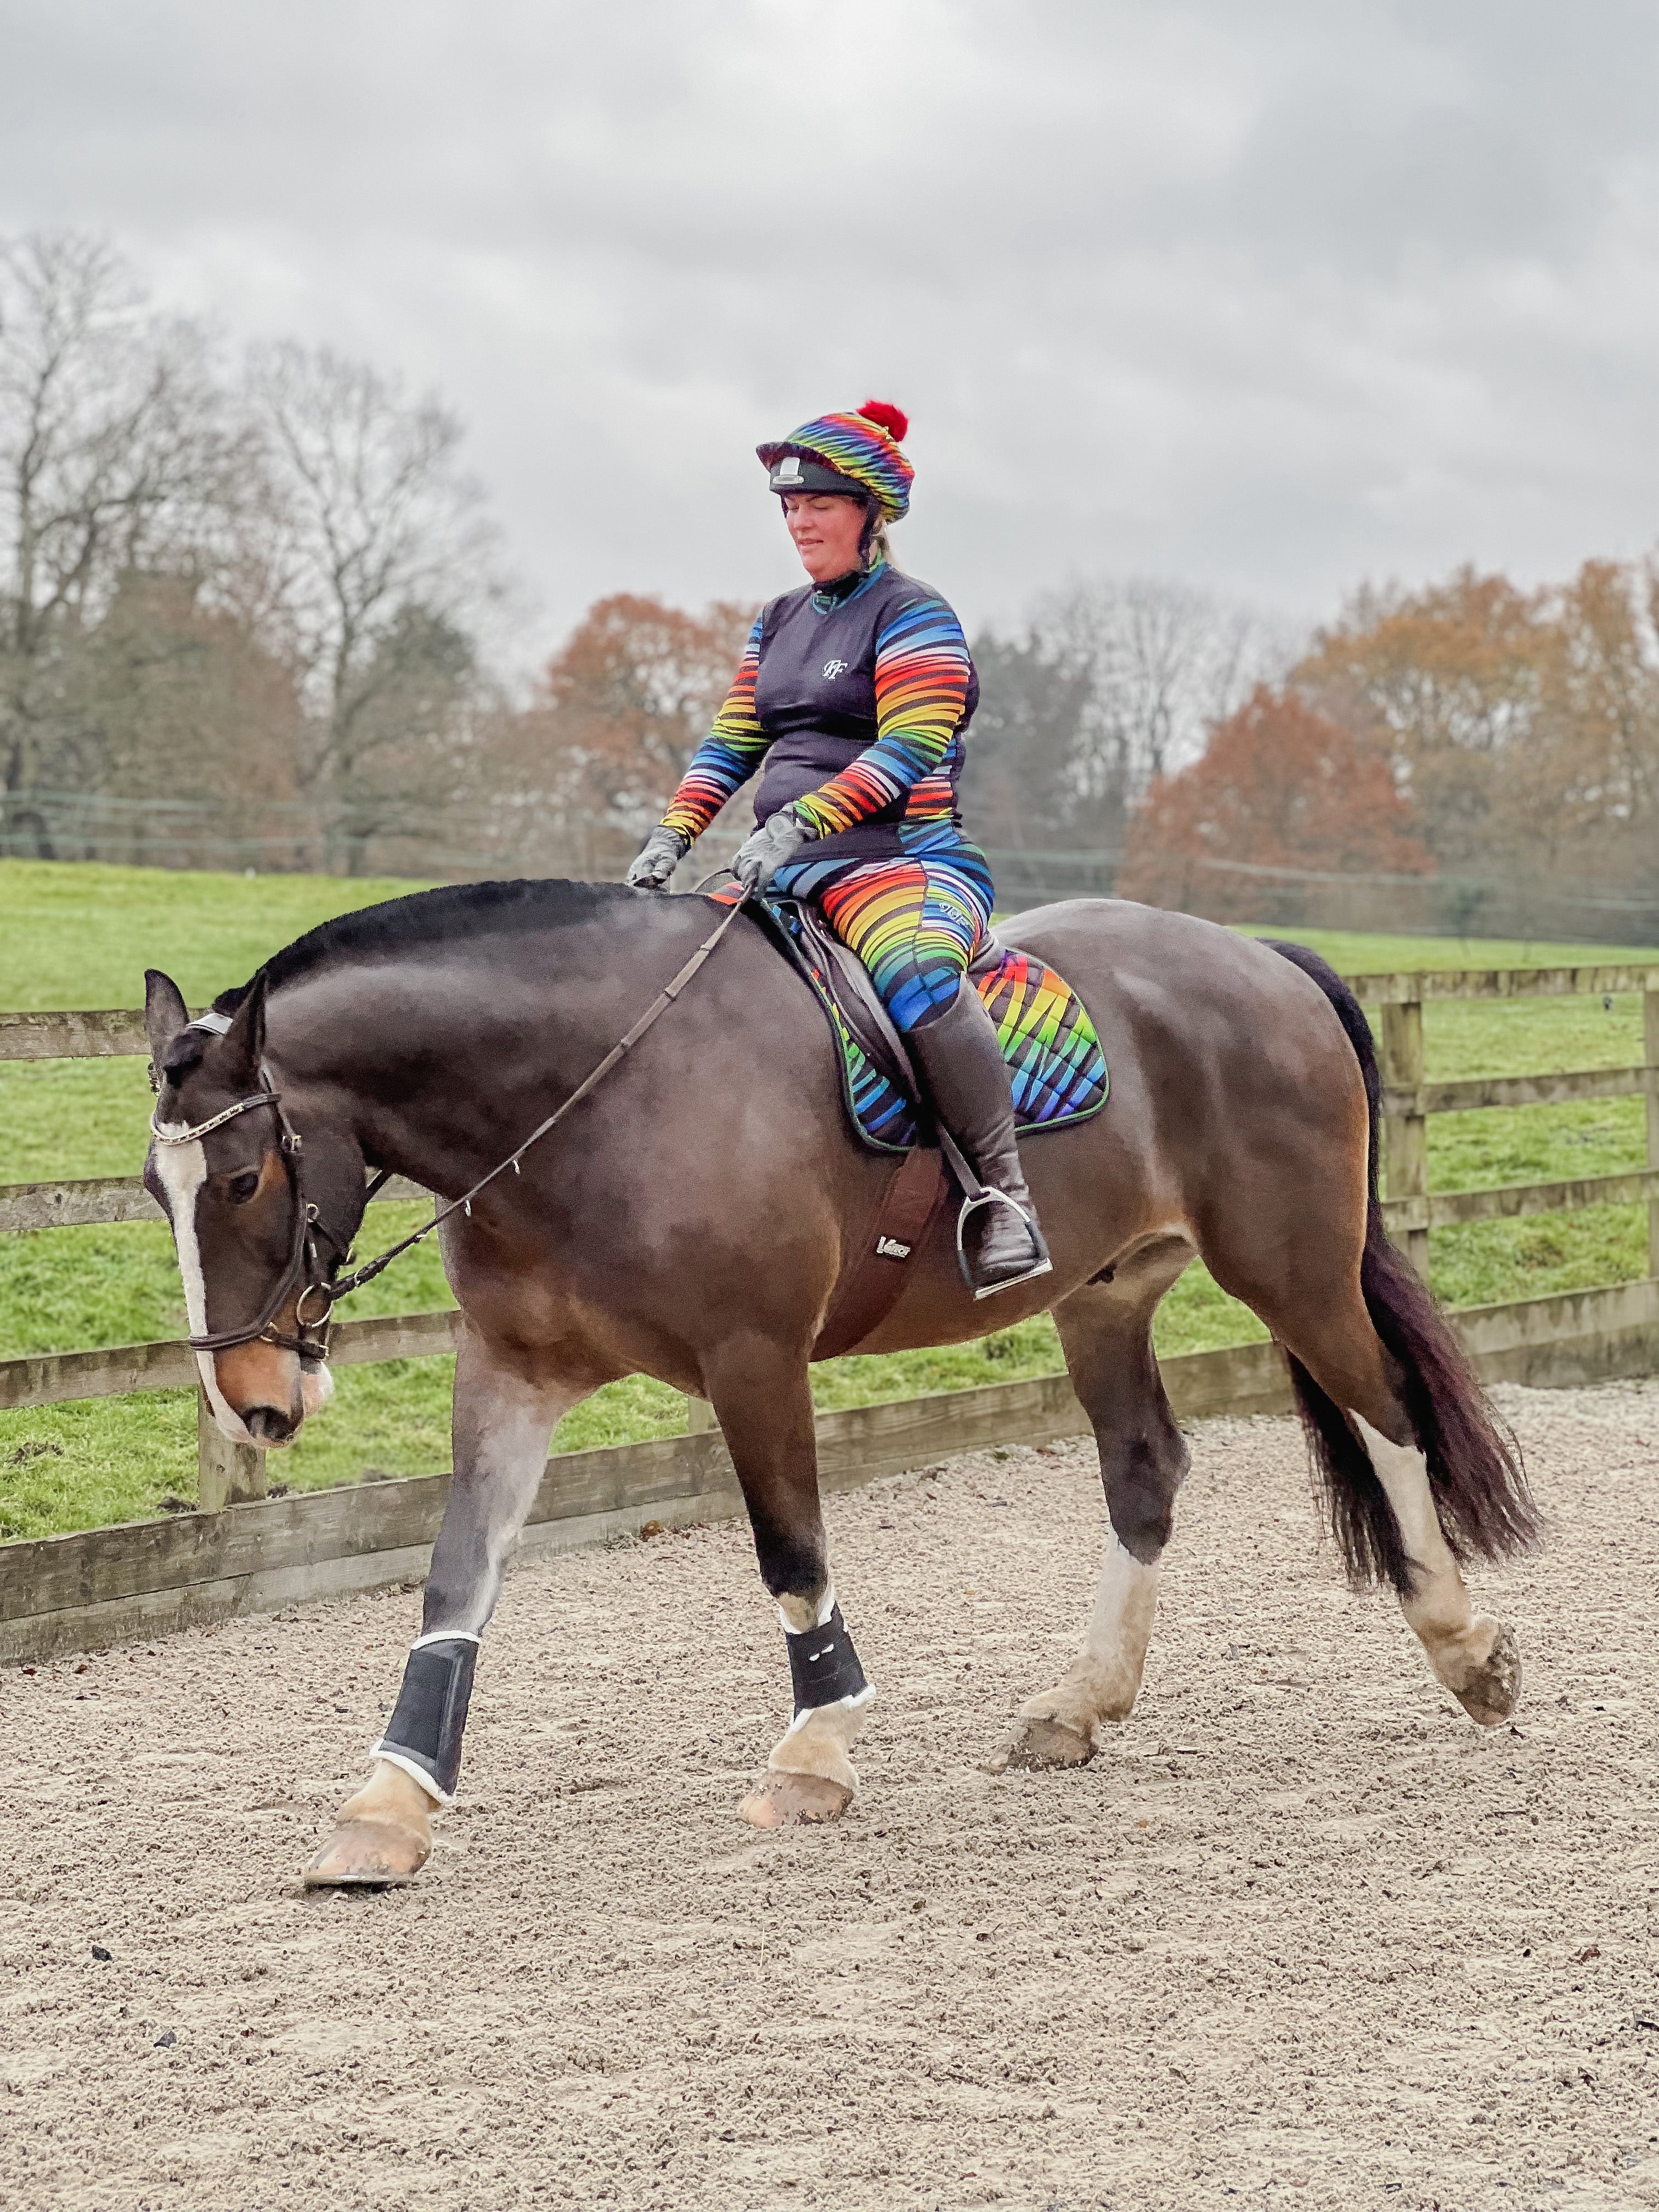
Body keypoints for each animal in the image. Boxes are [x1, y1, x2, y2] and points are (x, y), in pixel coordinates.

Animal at [136, 880, 1539, 1884]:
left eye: (244, 1179)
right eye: (158, 1189)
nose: (249, 1397)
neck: (589, 1099)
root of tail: (1262, 957)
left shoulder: (755, 1359)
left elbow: (792, 1554)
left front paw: (815, 1753)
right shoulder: (512, 1377)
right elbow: (456, 1580)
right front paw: (390, 1801)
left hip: (1292, 1271)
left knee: (1390, 1416)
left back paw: (1466, 1650)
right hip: (1105, 1300)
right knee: (1146, 1473)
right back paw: (1082, 1704)